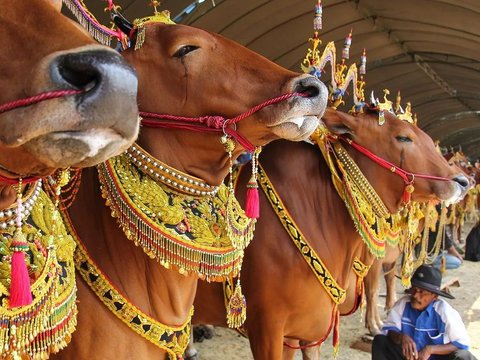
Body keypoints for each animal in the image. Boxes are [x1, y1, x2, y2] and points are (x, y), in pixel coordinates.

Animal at [191, 108, 468, 360]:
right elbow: (374, 287)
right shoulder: (266, 328)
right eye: (403, 137)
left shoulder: (300, 331)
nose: (463, 181)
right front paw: (375, 325)